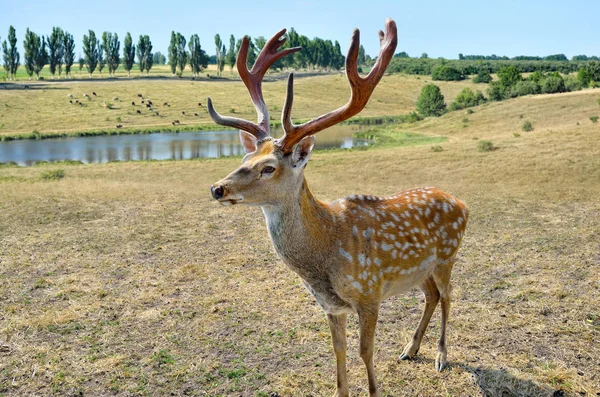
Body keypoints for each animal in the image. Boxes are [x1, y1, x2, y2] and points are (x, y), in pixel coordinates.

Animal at [206, 19, 468, 396]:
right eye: (245, 158)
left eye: (268, 167)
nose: (217, 188)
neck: (326, 255)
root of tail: (462, 203)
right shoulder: (331, 306)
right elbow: (339, 352)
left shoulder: (370, 293)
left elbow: (365, 351)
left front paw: (375, 389)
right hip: (420, 270)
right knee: (431, 296)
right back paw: (410, 348)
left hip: (448, 255)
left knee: (448, 295)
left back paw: (441, 356)